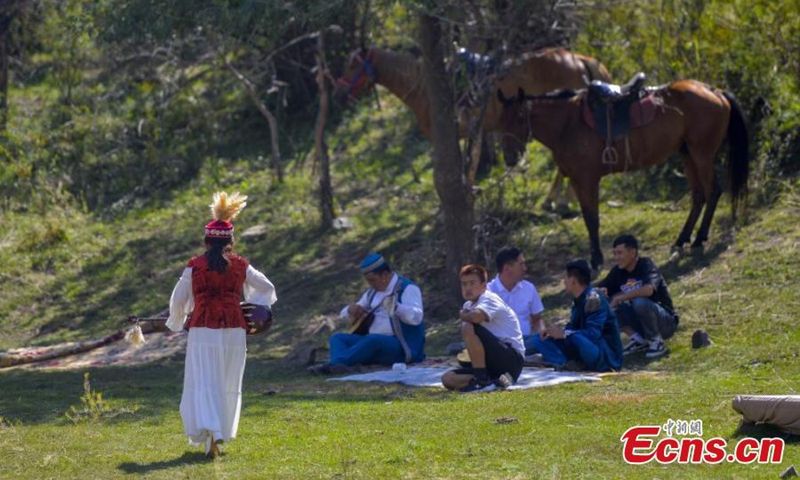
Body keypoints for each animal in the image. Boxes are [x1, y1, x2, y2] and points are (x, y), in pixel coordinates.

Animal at [500, 82, 752, 270]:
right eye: (502, 119)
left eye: (520, 117)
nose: (510, 158)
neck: (567, 124)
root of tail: (715, 92)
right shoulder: (576, 180)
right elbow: (588, 217)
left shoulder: (587, 179)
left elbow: (592, 219)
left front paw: (596, 260)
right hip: (686, 153)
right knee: (698, 196)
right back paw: (682, 240)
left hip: (701, 154)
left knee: (712, 192)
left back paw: (699, 238)